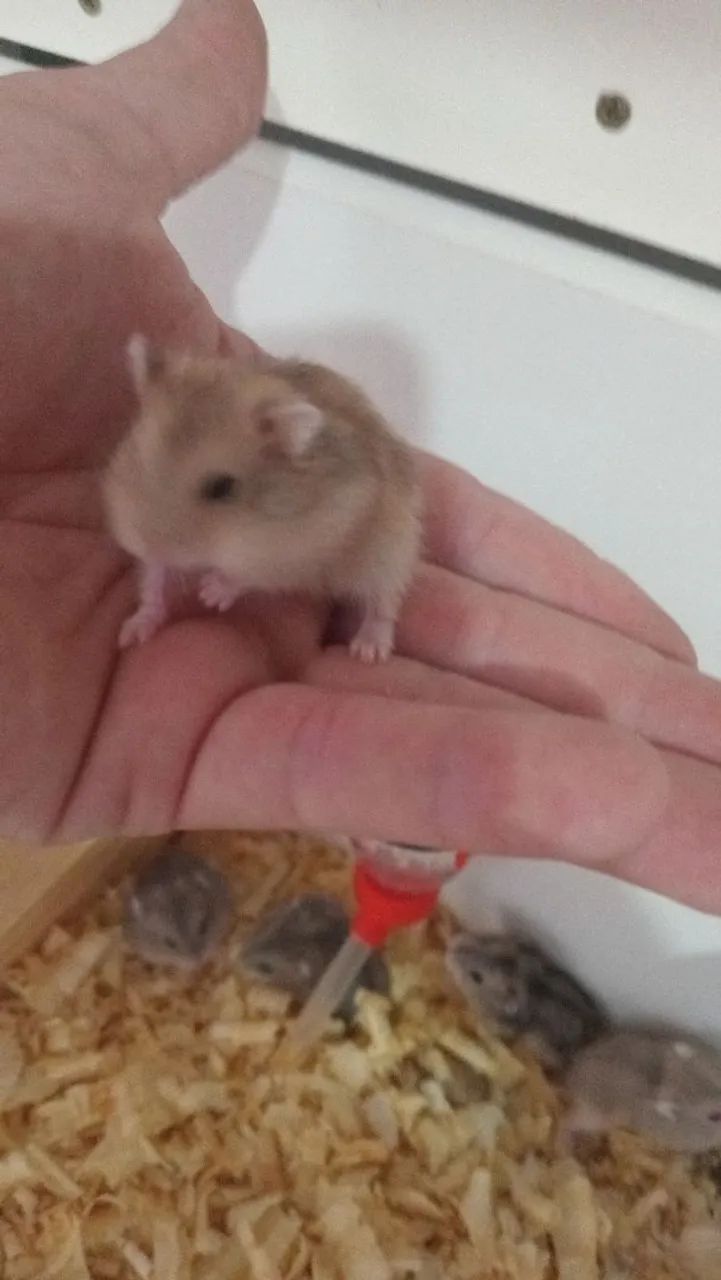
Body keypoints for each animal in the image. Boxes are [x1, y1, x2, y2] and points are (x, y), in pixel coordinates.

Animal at [103, 336, 422, 662]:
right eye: (137, 456)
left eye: (222, 487)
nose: (144, 544)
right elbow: (152, 579)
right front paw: (132, 632)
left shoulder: (296, 552)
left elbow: (248, 575)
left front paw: (210, 592)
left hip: (391, 550)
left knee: (385, 599)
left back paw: (368, 650)